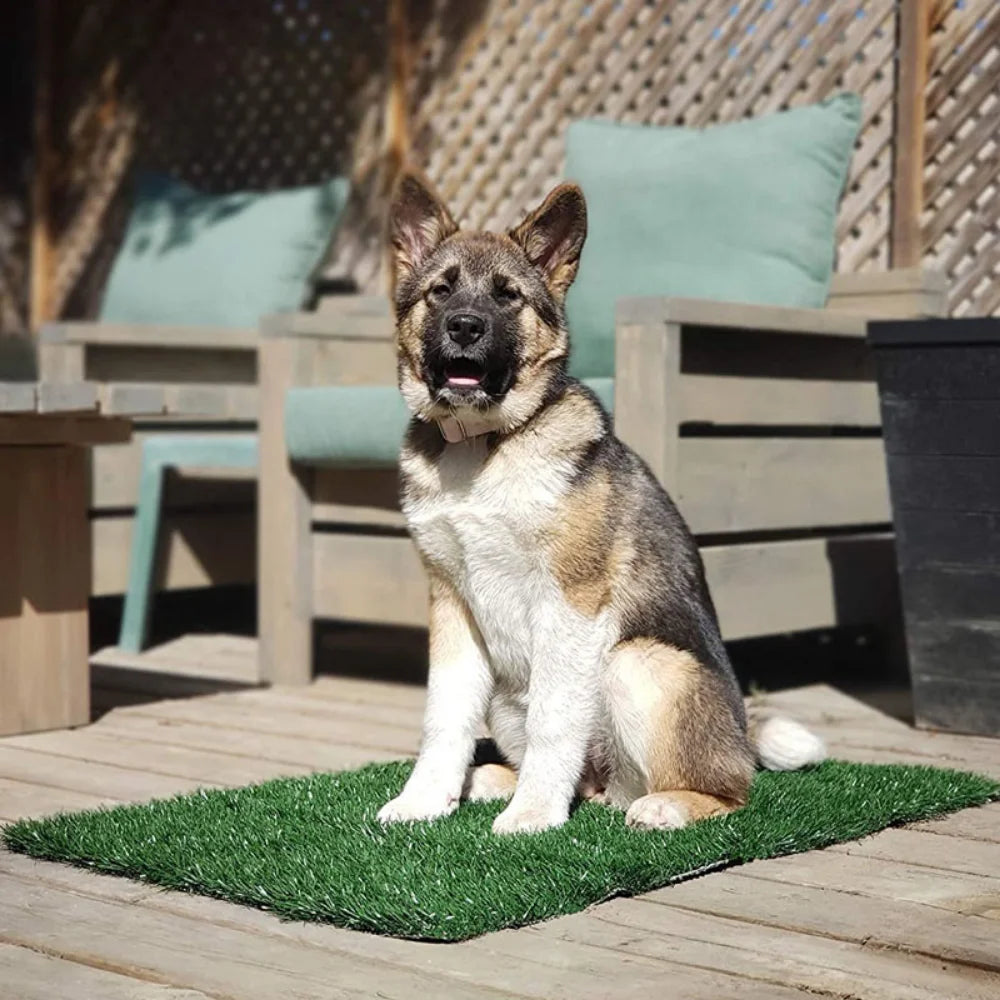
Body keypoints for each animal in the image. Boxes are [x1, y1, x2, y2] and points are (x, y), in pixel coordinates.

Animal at [378, 172, 824, 836]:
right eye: (441, 291)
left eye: (508, 296)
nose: (464, 327)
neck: (484, 447)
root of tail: (741, 737)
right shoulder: (453, 604)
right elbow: (444, 716)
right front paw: (425, 799)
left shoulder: (571, 602)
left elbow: (554, 719)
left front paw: (533, 815)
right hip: (511, 691)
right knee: (587, 782)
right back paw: (491, 780)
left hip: (635, 662)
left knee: (727, 792)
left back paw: (662, 804)